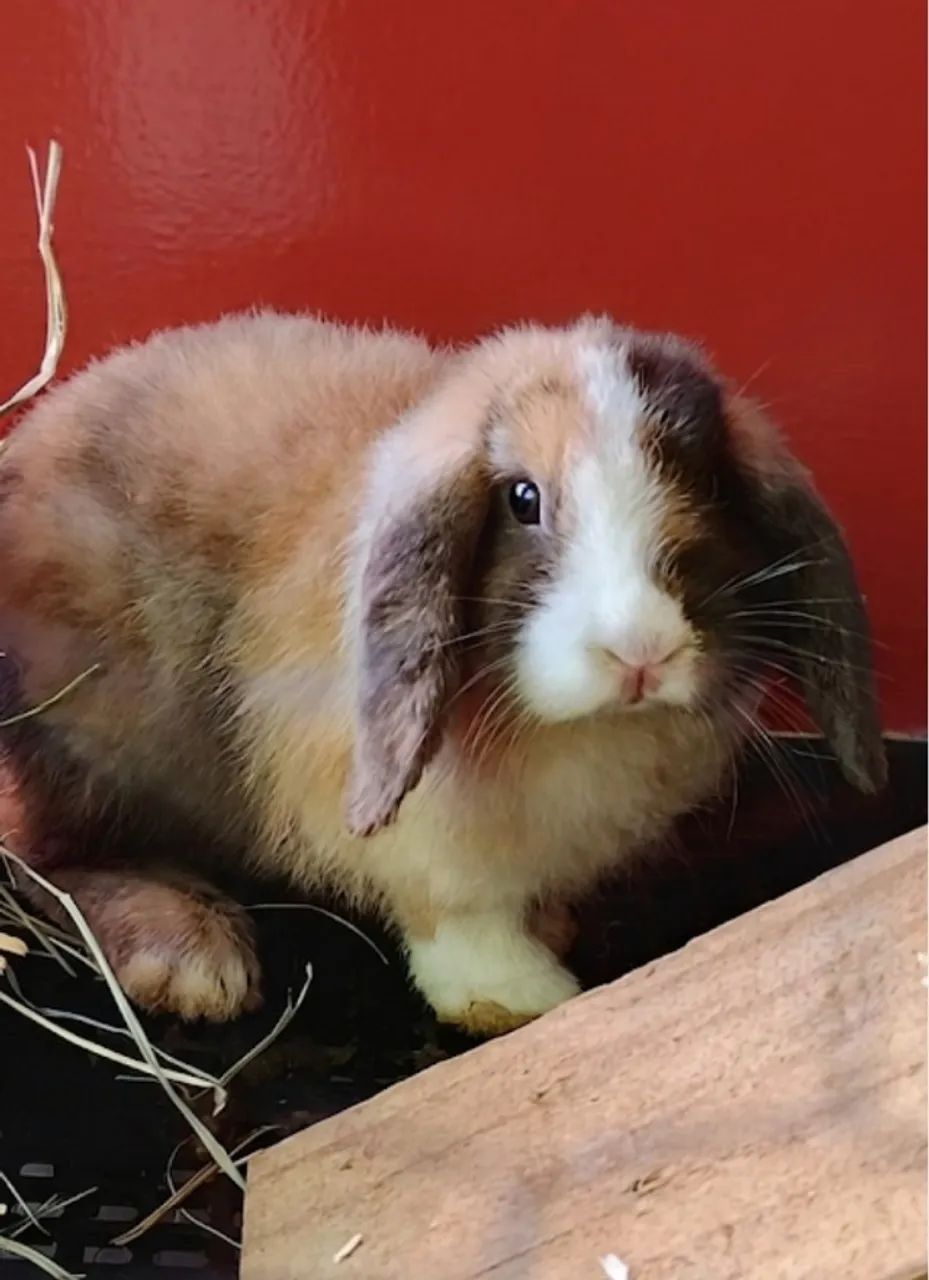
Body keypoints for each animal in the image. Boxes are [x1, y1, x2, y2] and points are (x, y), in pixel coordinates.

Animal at [0, 311, 885, 1035]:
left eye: (706, 485)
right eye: (523, 499)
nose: (640, 651)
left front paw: (550, 927)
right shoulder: (417, 835)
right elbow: (454, 914)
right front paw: (516, 995)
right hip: (91, 754)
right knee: (45, 860)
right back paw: (192, 956)